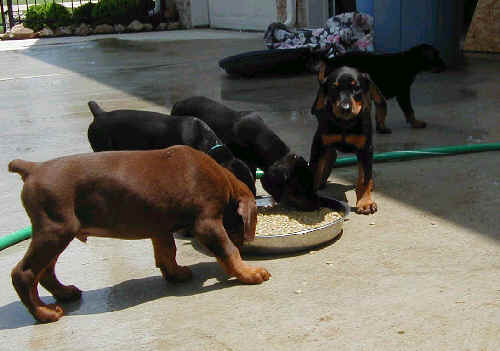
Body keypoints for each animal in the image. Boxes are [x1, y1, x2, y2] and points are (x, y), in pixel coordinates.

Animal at [8, 146, 270, 324]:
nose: (246, 244)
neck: (224, 181)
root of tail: (33, 168)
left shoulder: (160, 227)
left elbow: (167, 252)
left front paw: (175, 274)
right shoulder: (207, 222)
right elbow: (228, 250)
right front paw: (250, 273)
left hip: (57, 232)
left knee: (44, 271)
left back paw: (63, 293)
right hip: (56, 229)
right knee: (24, 273)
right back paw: (43, 312)